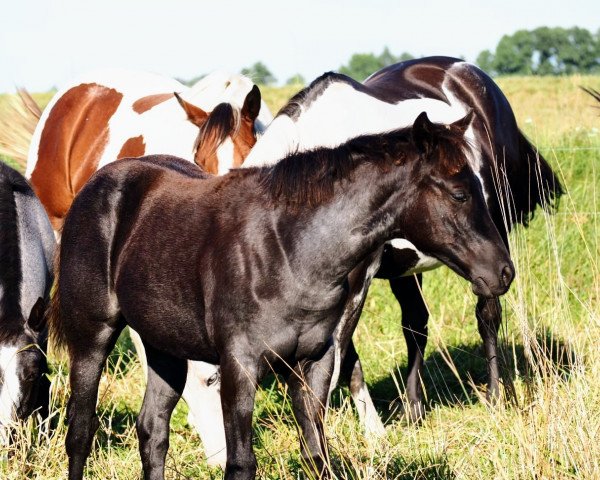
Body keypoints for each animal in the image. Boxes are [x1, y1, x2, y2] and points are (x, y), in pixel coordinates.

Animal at [49, 110, 512, 478]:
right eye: (459, 193)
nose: (503, 272)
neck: (290, 248)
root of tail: (95, 186)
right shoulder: (240, 366)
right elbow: (241, 463)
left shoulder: (313, 364)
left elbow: (316, 453)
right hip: (92, 338)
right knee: (81, 432)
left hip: (165, 347)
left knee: (152, 431)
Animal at [240, 55, 564, 428]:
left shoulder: (355, 284)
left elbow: (333, 363)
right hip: (410, 268)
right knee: (416, 324)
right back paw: (413, 408)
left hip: (491, 251)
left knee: (488, 314)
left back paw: (497, 397)